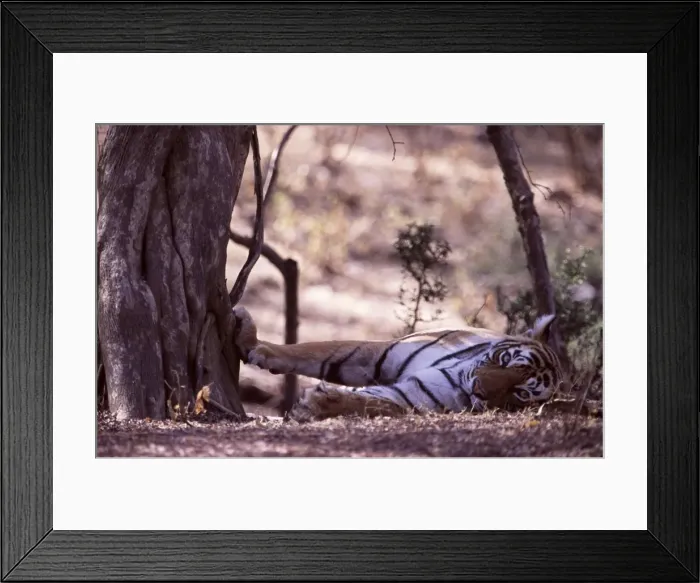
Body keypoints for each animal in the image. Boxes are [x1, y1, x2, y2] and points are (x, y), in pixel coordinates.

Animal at [232, 306, 565, 423]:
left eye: (520, 393)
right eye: (505, 360)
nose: (480, 388)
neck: (457, 373)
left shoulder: (411, 397)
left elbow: (373, 403)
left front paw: (318, 404)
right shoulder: (381, 352)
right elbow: (312, 351)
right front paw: (253, 342)